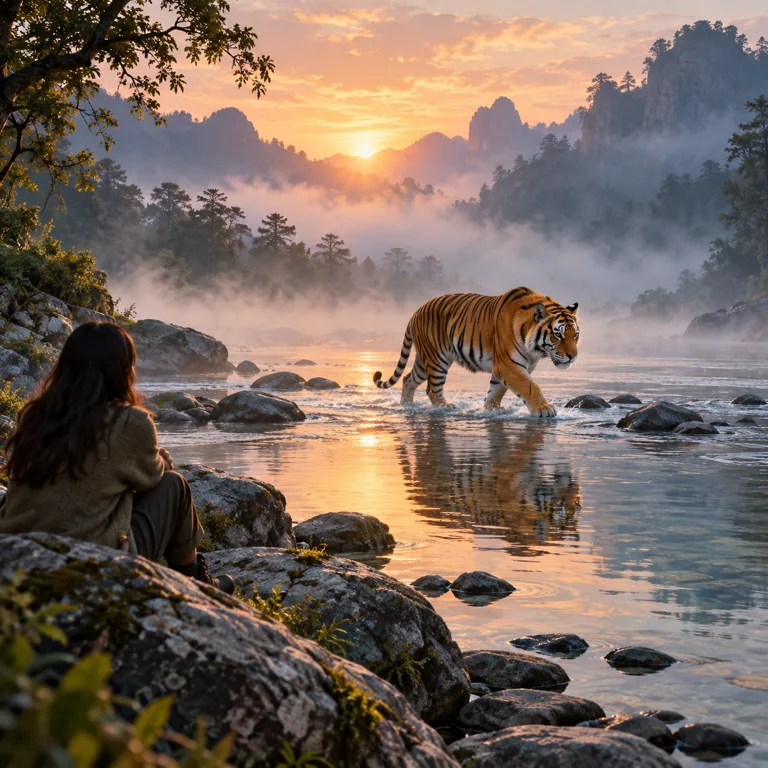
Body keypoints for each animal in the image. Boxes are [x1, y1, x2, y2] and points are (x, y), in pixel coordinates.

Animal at [373, 287, 580, 416]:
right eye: (558, 335)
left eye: (575, 335)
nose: (573, 356)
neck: (534, 350)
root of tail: (415, 312)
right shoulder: (508, 365)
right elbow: (530, 386)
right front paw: (544, 409)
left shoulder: (507, 367)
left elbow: (496, 391)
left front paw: (492, 409)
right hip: (437, 359)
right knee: (431, 389)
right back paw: (445, 407)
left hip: (424, 361)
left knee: (408, 379)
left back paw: (407, 405)